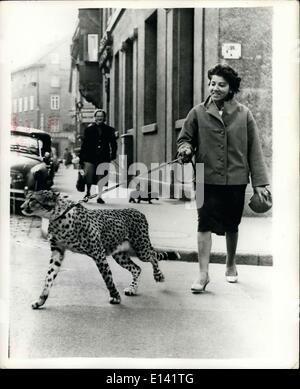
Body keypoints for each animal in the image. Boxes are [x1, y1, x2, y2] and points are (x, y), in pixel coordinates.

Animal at [20, 189, 171, 308]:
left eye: (32, 199)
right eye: (27, 197)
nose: (21, 206)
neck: (58, 216)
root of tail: (137, 211)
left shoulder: (98, 253)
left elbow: (107, 278)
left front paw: (115, 296)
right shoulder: (58, 252)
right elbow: (49, 278)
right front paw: (40, 300)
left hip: (141, 249)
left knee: (153, 255)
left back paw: (159, 276)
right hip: (120, 255)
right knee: (137, 268)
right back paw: (132, 289)